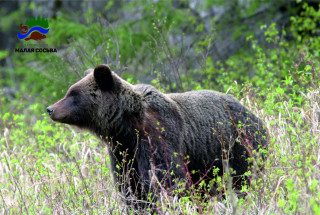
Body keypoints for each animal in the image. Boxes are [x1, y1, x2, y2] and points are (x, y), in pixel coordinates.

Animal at [47, 65, 268, 205]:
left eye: (73, 94)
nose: (50, 109)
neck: (126, 124)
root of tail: (255, 116)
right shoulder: (122, 149)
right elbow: (130, 185)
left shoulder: (157, 135)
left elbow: (168, 178)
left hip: (238, 146)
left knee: (241, 179)